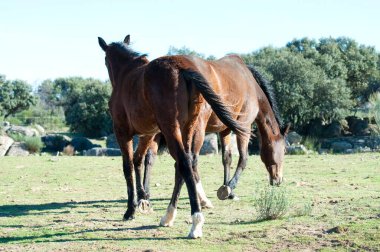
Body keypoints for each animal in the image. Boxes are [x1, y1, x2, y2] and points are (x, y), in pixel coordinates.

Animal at [97, 35, 249, 238]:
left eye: (106, 61)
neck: (127, 74)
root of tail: (182, 68)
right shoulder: (149, 134)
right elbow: (139, 160)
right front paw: (143, 199)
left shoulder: (122, 132)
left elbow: (128, 166)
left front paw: (131, 209)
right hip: (188, 128)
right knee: (186, 163)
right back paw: (169, 215)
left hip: (171, 129)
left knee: (183, 162)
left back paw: (195, 221)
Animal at [135, 65, 290, 211]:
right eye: (284, 150)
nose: (279, 180)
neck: (252, 88)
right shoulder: (244, 127)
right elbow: (243, 158)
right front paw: (229, 187)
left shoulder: (225, 130)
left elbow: (227, 158)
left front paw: (228, 189)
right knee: (190, 160)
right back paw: (200, 199)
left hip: (156, 134)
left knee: (150, 159)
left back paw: (145, 196)